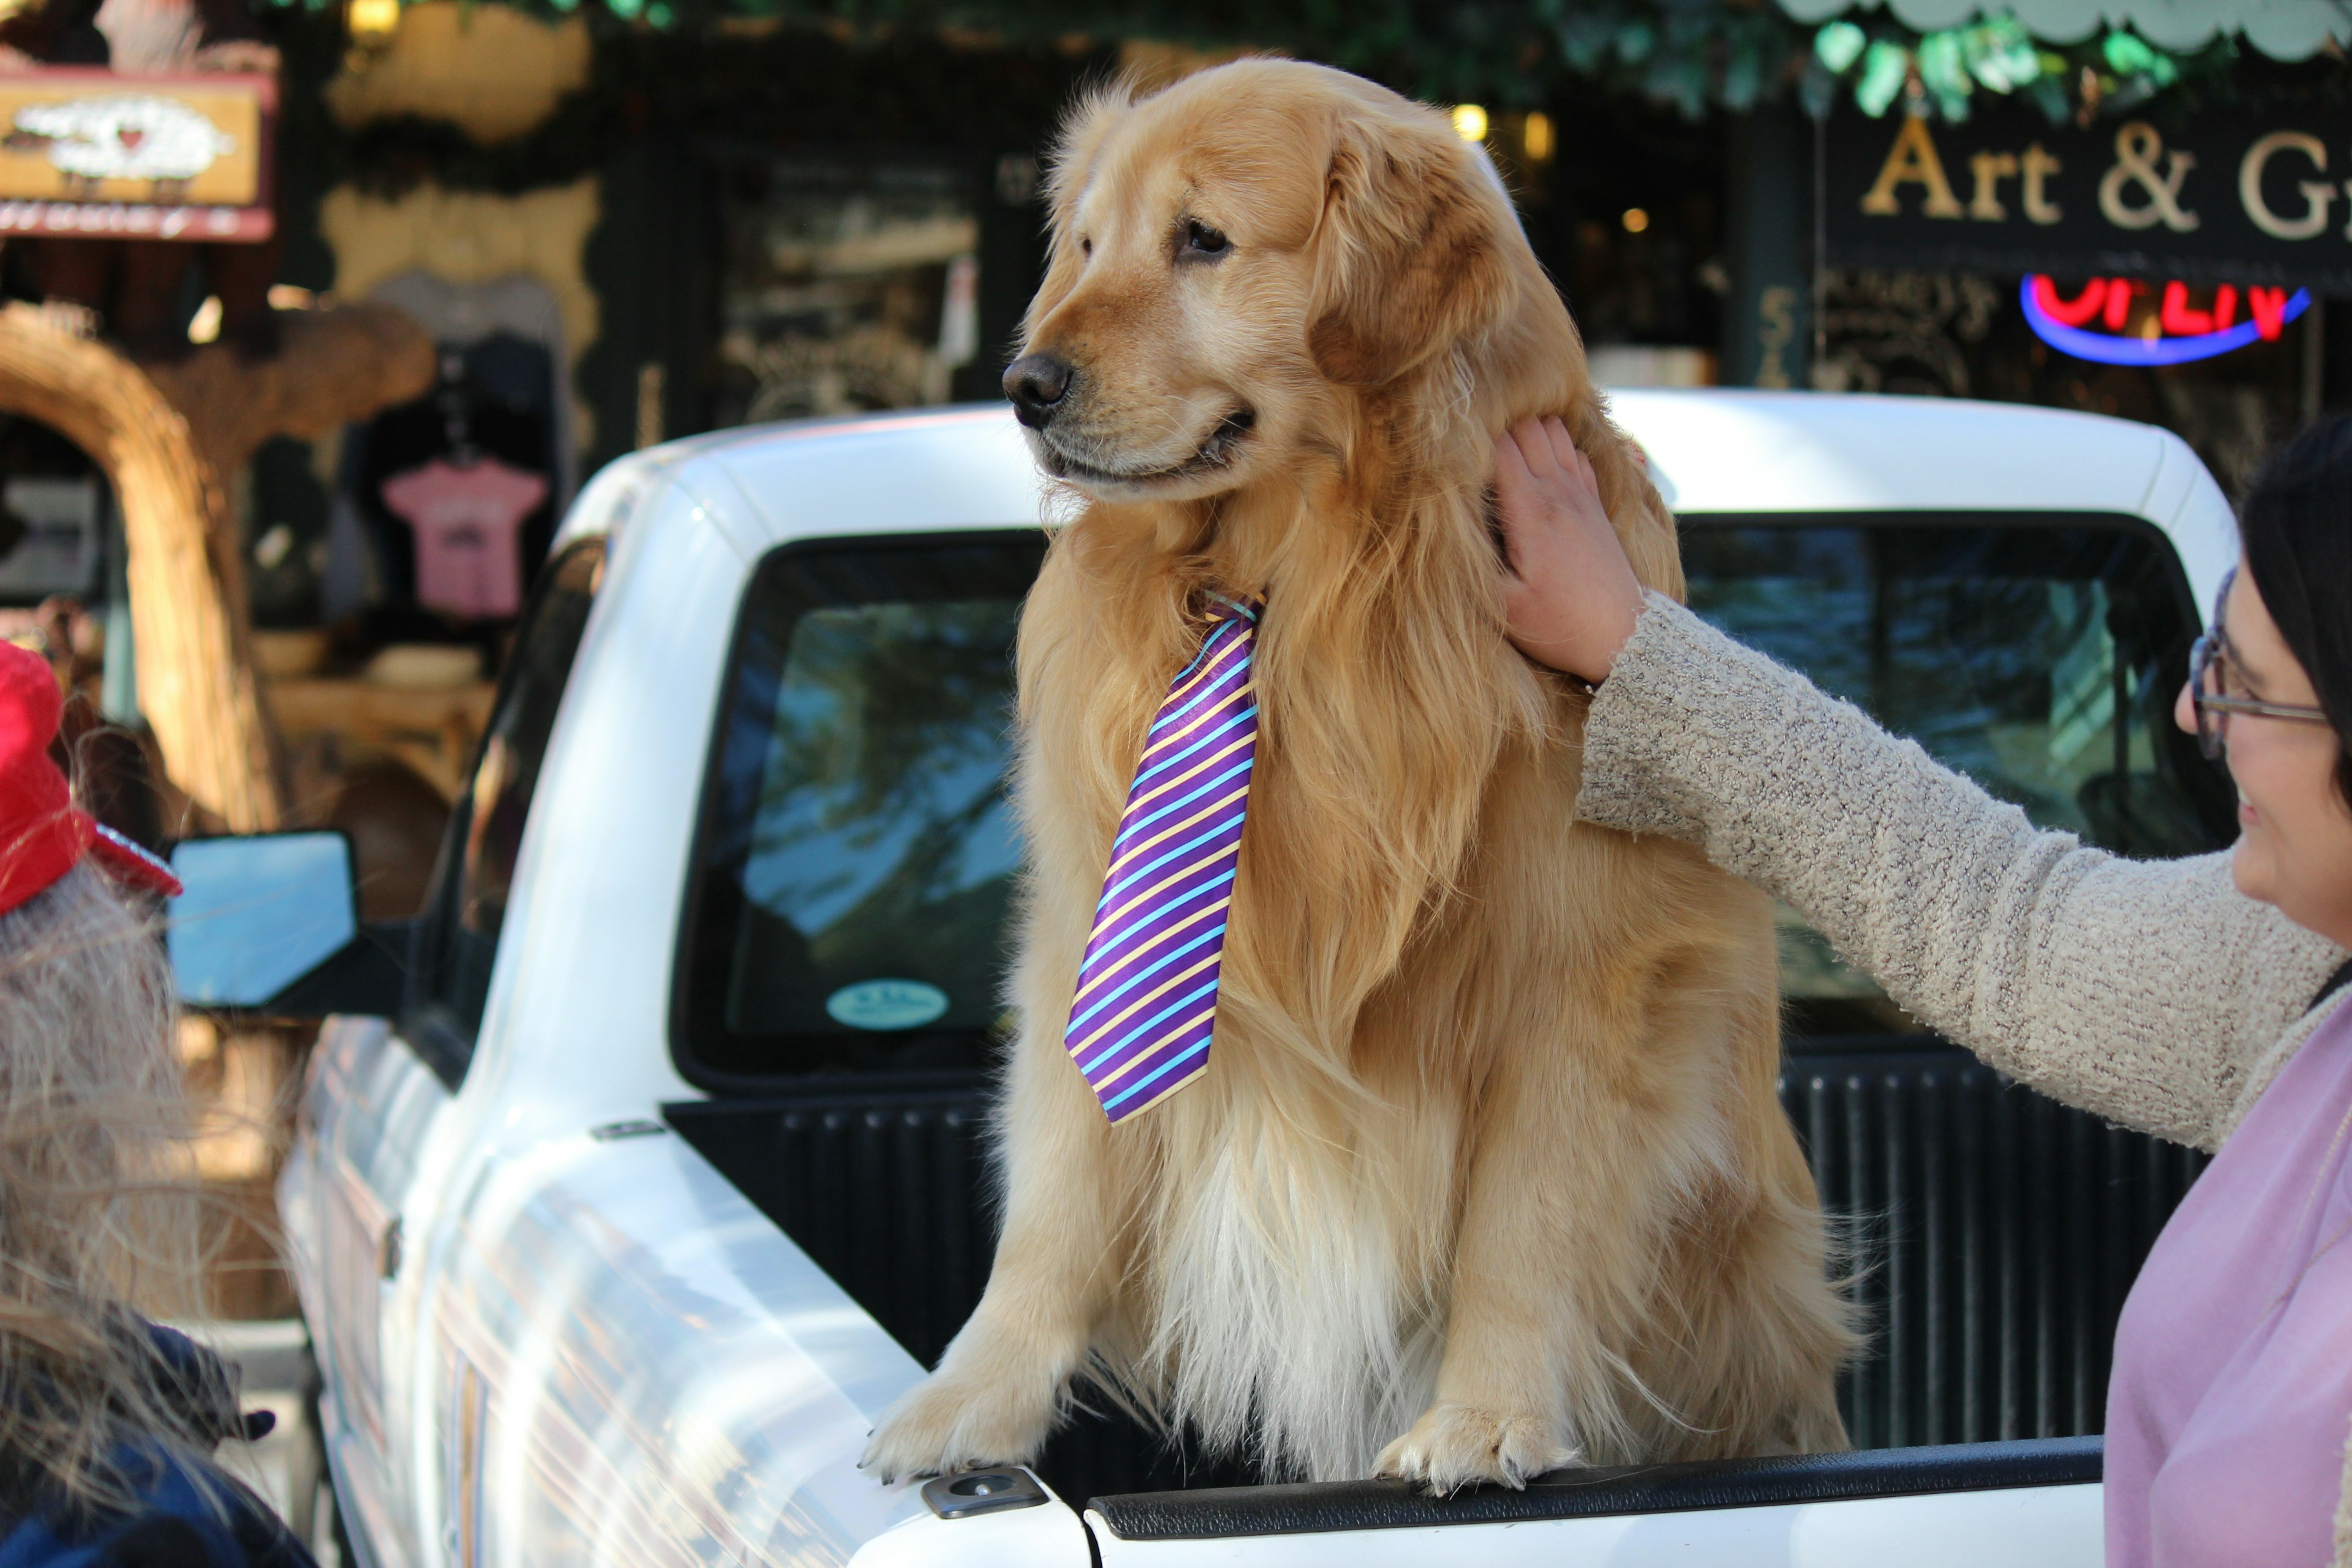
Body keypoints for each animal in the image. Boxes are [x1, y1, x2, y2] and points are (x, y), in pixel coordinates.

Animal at [865, 55, 1853, 1495]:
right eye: (1088, 246)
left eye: (1203, 240)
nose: (1025, 384)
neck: (1298, 586)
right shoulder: (1084, 932)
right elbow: (1057, 1191)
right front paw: (970, 1399)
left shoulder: (1583, 976)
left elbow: (1523, 1223)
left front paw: (1487, 1416)